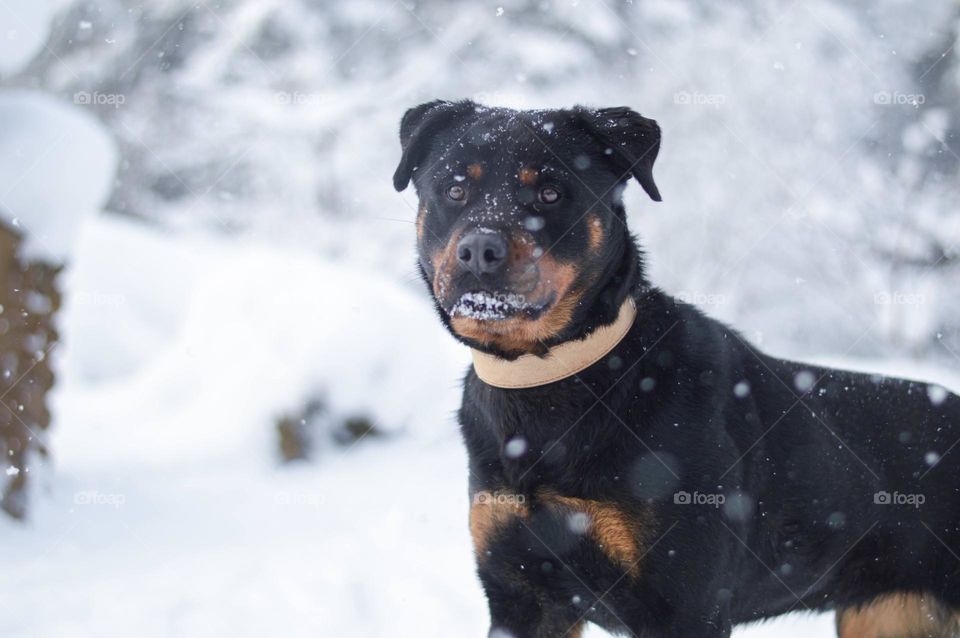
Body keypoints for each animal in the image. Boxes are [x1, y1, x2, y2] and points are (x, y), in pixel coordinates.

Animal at [392, 101, 960, 638]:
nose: (479, 250)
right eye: (455, 188)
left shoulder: (686, 603)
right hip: (890, 615)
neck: (549, 382)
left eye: (551, 193)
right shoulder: (521, 596)